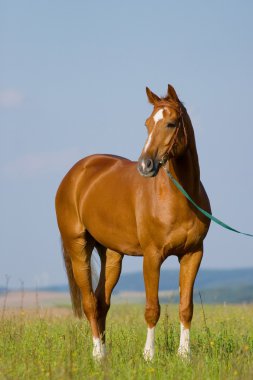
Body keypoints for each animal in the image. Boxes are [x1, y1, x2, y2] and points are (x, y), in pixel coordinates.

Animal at [55, 84, 211, 360]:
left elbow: (186, 307)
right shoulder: (152, 257)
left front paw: (184, 356)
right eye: (148, 123)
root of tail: (75, 174)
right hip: (78, 248)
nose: (145, 165)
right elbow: (152, 308)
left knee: (101, 302)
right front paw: (149, 355)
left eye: (171, 123)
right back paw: (97, 355)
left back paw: (104, 353)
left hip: (111, 254)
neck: (179, 197)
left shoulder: (193, 254)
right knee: (89, 303)